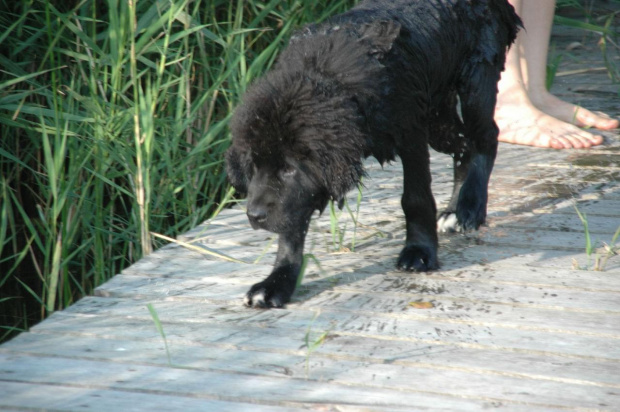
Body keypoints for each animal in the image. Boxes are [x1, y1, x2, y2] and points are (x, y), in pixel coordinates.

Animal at [225, 0, 520, 308]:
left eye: (288, 168)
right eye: (253, 167)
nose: (254, 216)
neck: (330, 80)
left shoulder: (410, 133)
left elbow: (415, 199)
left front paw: (419, 252)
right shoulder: (296, 195)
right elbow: (290, 227)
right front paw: (277, 282)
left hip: (476, 80)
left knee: (486, 137)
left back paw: (470, 207)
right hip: (439, 117)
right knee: (463, 148)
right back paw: (454, 209)